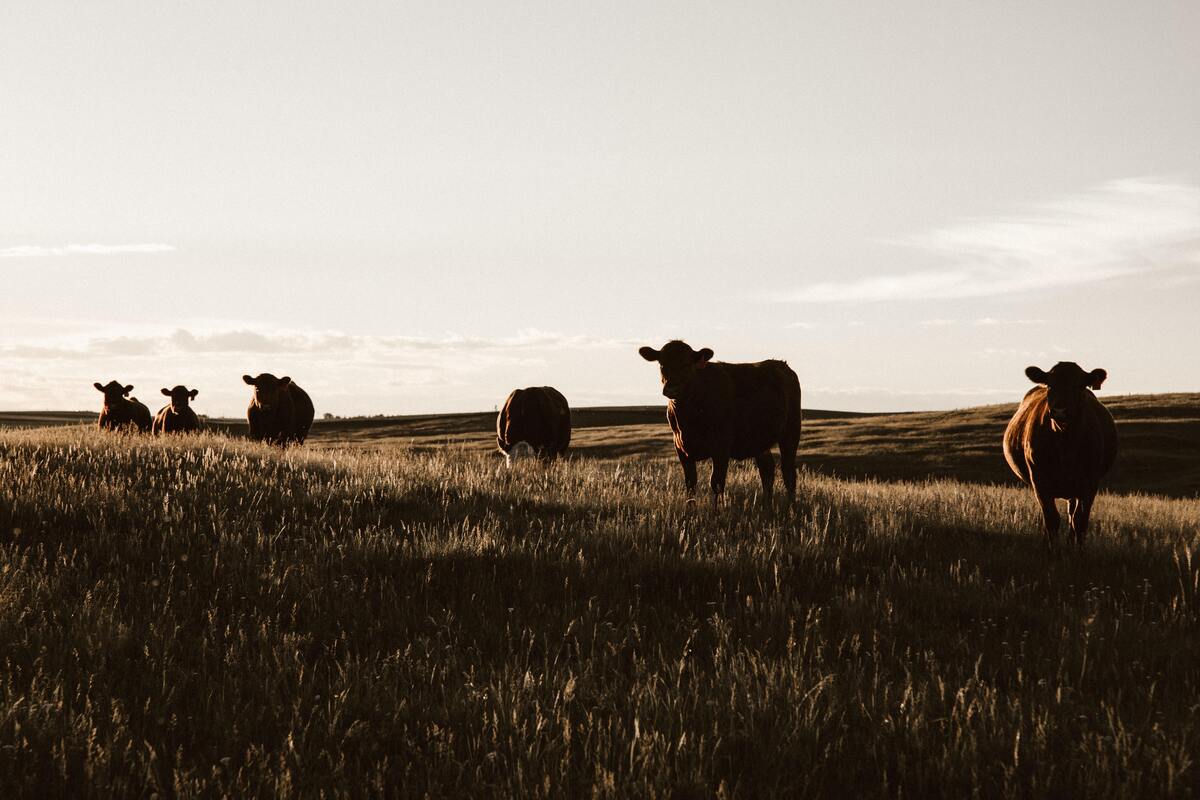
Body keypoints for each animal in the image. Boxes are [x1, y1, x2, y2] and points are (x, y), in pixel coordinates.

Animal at [643, 340, 801, 506]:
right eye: (662, 364)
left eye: (686, 364)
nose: (672, 388)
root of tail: (780, 364)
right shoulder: (681, 448)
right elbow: (690, 484)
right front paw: (690, 510)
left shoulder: (721, 446)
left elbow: (716, 483)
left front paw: (717, 510)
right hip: (759, 439)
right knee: (767, 470)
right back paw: (766, 505)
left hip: (791, 431)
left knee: (788, 472)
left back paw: (791, 506)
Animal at [998, 364, 1118, 546]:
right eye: (1050, 385)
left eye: (1078, 386)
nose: (1060, 411)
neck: (1065, 442)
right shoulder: (1039, 480)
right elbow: (1051, 519)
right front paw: (1052, 549)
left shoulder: (1090, 482)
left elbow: (1080, 520)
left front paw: (1079, 550)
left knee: (1072, 514)